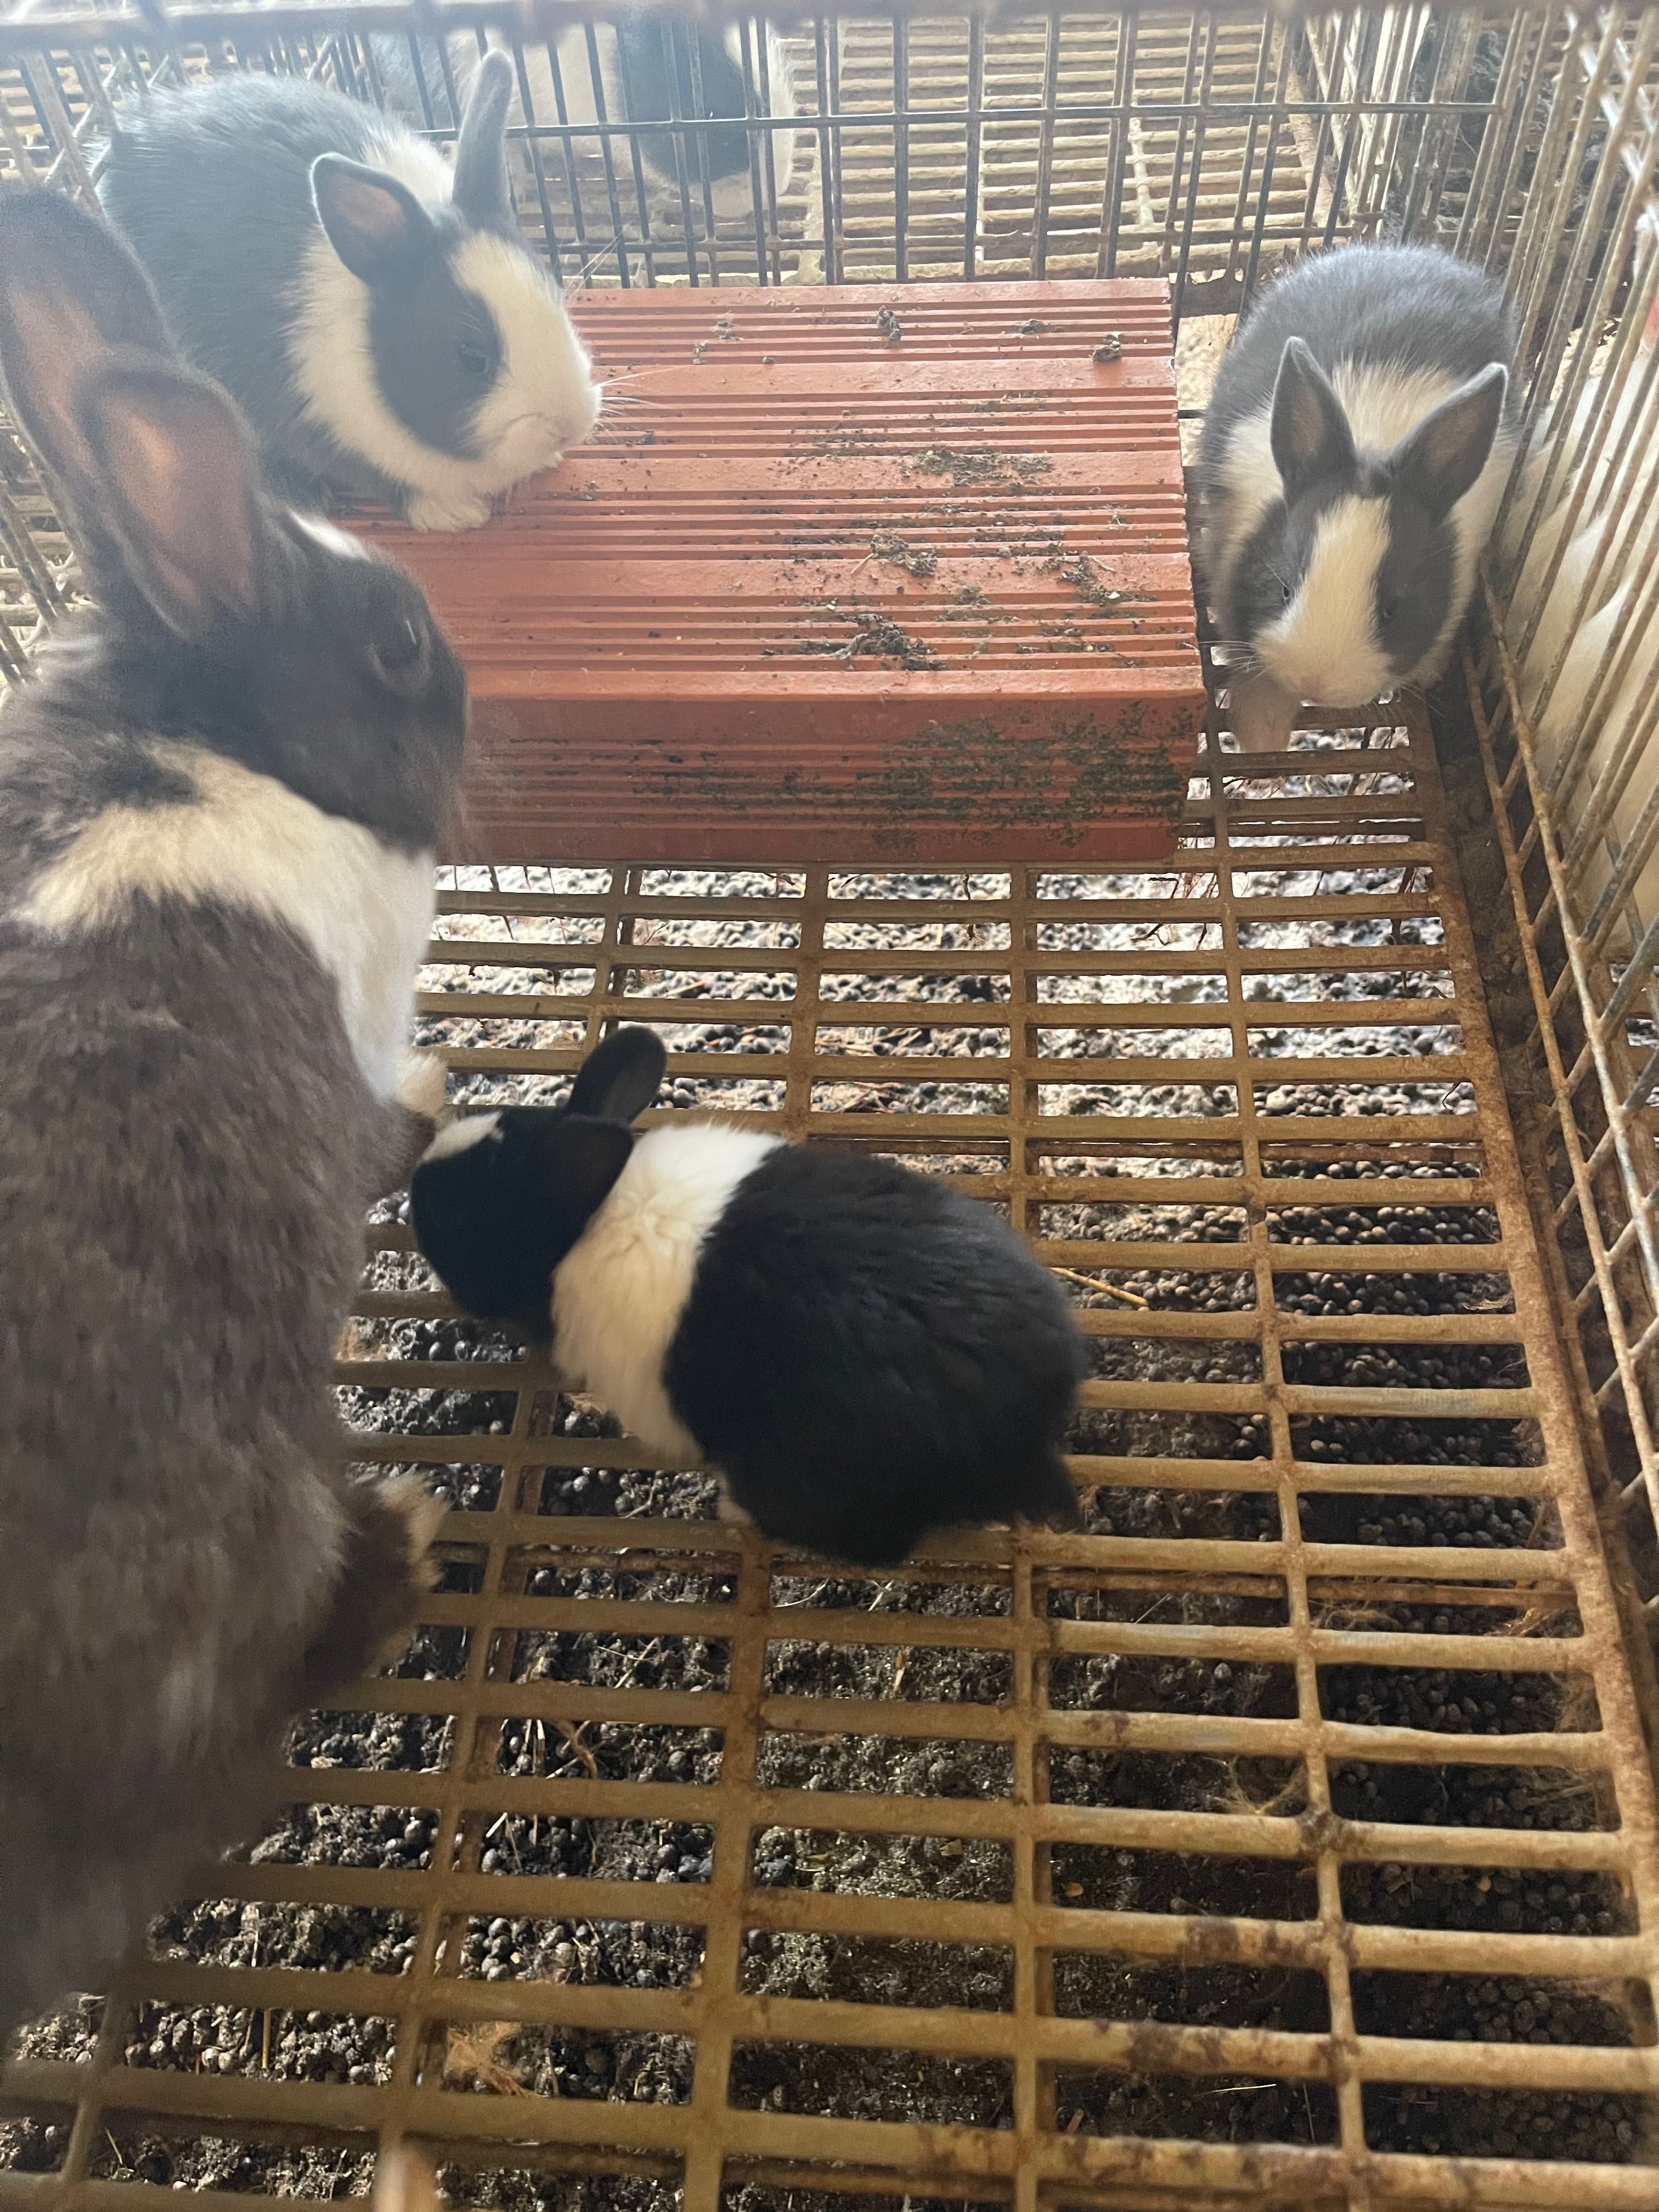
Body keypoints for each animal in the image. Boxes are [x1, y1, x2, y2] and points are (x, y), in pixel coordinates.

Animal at [0, 190, 469, 2035]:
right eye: (399, 642)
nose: (472, 694)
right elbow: (386, 1125)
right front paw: (439, 1094)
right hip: (240, 1511)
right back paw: (397, 1553)